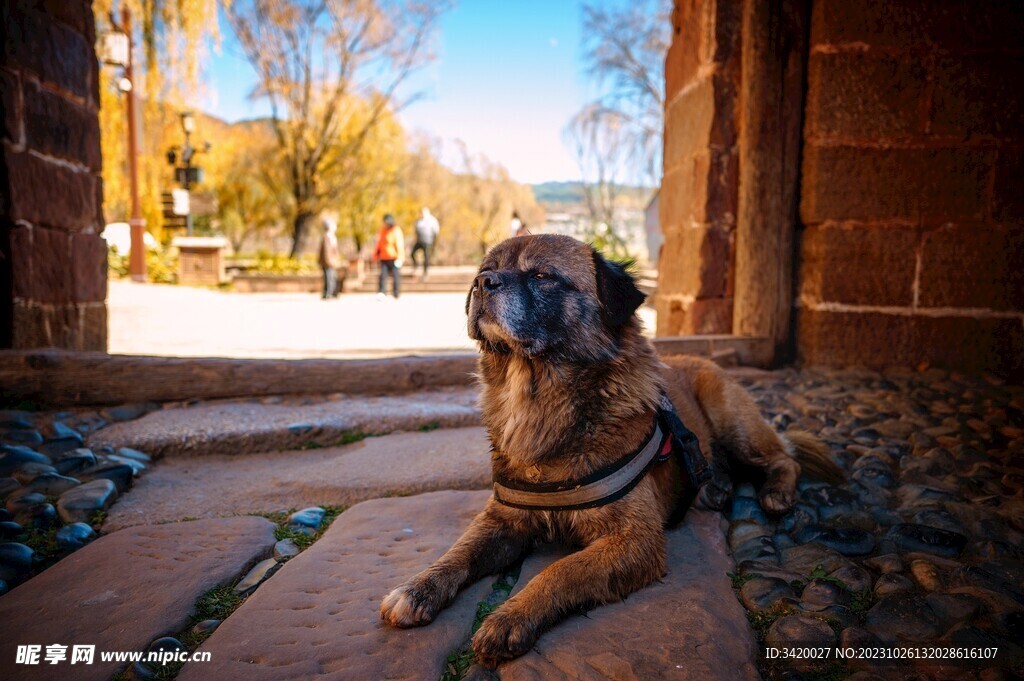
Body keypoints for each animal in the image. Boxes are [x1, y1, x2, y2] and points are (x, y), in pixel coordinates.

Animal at [382, 236, 839, 667]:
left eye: (542, 276)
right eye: (484, 270)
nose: (482, 283)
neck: (538, 403)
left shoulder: (634, 539)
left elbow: (561, 570)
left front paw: (511, 617)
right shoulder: (503, 520)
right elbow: (459, 551)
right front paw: (417, 588)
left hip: (731, 418)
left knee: (784, 457)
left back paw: (775, 493)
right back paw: (719, 487)